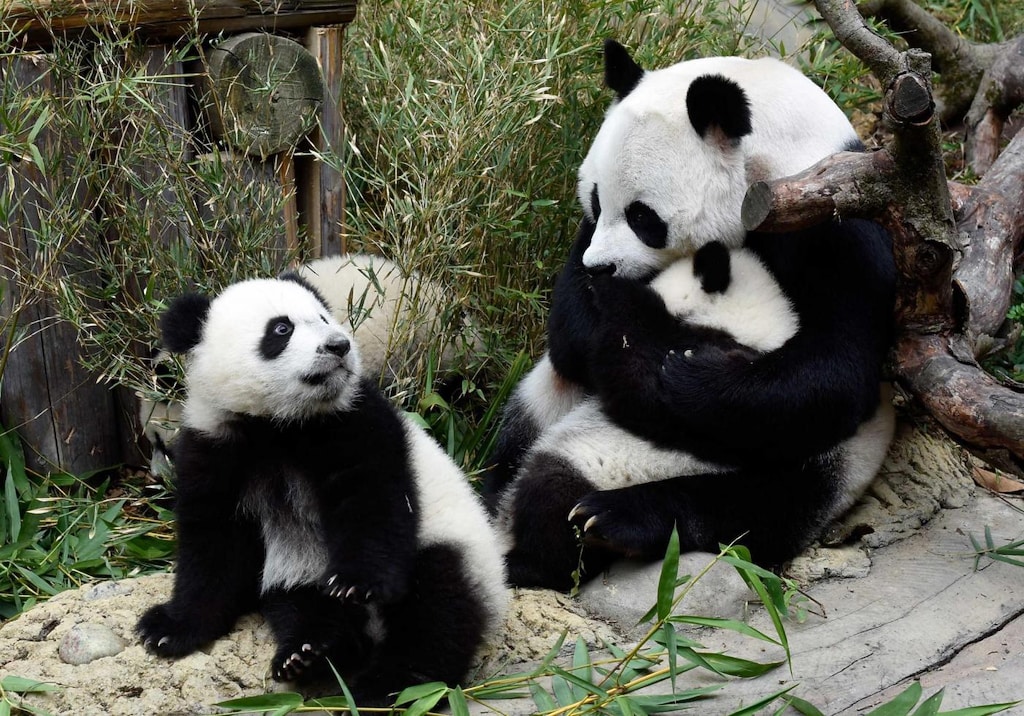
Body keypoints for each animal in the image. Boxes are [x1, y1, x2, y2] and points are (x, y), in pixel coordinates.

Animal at [136, 274, 507, 703]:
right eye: (281, 329)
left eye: (324, 317)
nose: (339, 346)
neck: (278, 424)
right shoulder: (217, 446)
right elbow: (213, 547)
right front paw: (167, 629)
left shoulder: (354, 421)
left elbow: (373, 502)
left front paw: (355, 582)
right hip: (301, 573)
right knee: (303, 607)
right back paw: (311, 653)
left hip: (458, 548)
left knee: (438, 609)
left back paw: (392, 684)